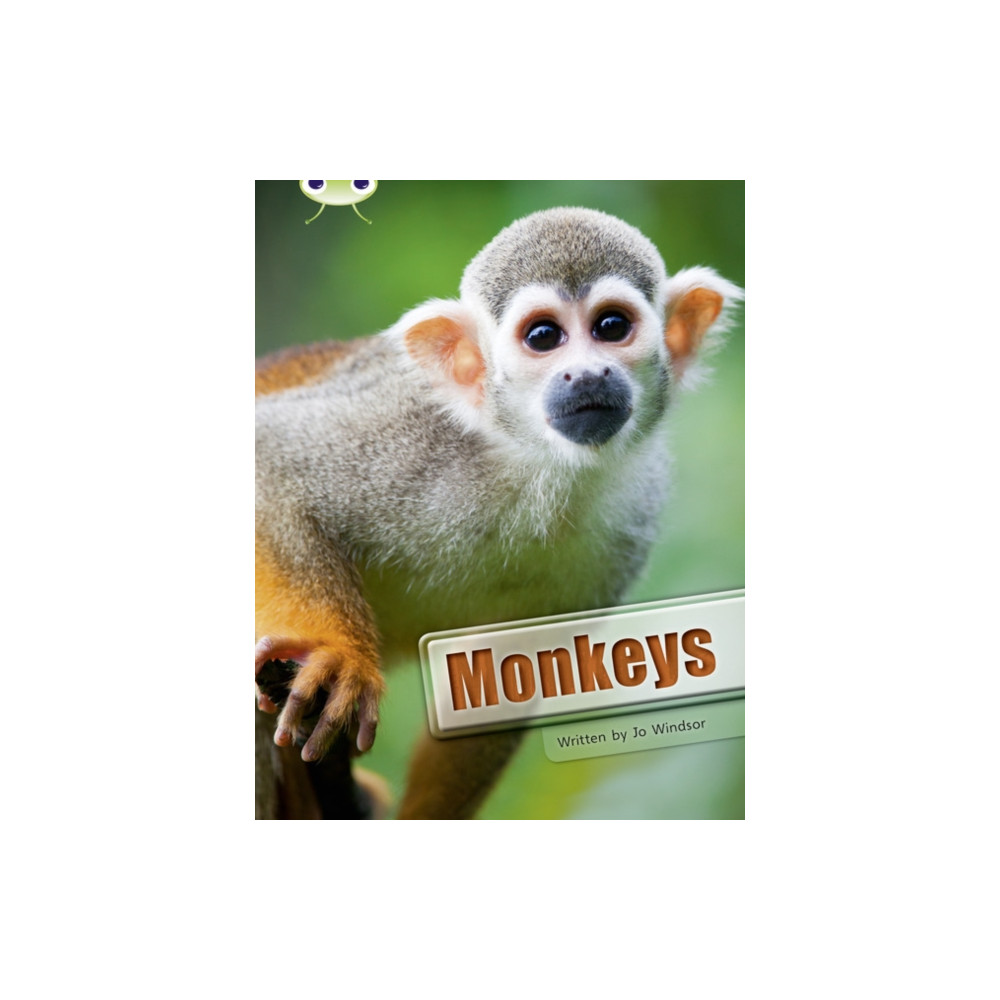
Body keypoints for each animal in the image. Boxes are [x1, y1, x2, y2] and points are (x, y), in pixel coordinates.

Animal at [255, 206, 743, 819]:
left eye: (611, 327)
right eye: (544, 337)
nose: (588, 375)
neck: (536, 465)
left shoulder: (635, 513)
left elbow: (508, 676)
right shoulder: (407, 432)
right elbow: (271, 458)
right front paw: (339, 658)